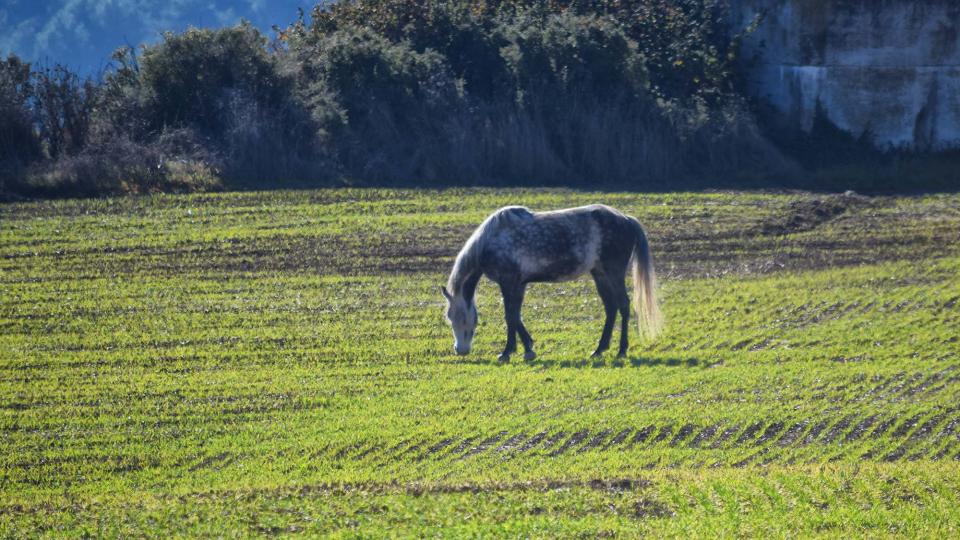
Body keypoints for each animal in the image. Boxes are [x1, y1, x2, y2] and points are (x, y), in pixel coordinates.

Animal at [440, 205, 660, 360]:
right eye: (449, 318)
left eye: (462, 319)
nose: (460, 350)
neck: (492, 240)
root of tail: (627, 219)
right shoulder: (518, 284)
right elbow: (516, 316)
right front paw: (528, 348)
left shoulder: (509, 283)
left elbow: (510, 316)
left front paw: (508, 352)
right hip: (600, 274)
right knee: (611, 307)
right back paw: (599, 349)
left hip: (614, 273)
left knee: (623, 305)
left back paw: (621, 350)